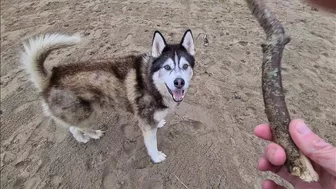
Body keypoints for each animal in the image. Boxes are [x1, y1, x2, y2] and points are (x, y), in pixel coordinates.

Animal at [20, 29, 194, 162]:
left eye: (185, 66)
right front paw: (156, 158)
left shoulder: (150, 119)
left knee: (72, 127)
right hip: (89, 113)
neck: (151, 82)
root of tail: (51, 78)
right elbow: (152, 145)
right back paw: (91, 135)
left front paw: (160, 123)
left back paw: (83, 137)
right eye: (167, 67)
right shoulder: (146, 124)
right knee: (76, 127)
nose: (179, 82)